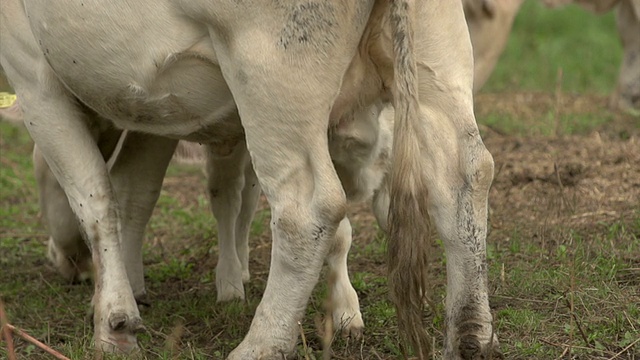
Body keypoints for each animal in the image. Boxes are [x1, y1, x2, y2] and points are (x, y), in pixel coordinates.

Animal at [0, 0, 496, 358]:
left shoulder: (31, 70)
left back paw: (261, 344)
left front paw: (114, 321)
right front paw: (134, 288)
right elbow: (135, 192)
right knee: (465, 174)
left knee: (306, 209)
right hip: (435, 56)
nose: (67, 264)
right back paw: (471, 335)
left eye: (41, 176)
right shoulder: (151, 111)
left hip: (271, 70)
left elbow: (96, 198)